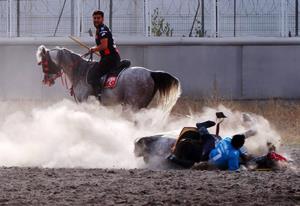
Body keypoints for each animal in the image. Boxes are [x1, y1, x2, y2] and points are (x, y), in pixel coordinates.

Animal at [35, 45, 180, 111]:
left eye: (45, 62)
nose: (45, 80)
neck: (80, 71)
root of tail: (150, 73)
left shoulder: (84, 102)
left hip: (133, 106)